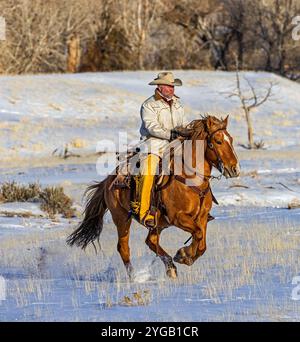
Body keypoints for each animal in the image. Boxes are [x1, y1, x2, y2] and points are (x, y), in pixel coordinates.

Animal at [67, 115, 240, 278]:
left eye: (231, 140)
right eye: (218, 141)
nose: (234, 169)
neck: (190, 180)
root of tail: (109, 179)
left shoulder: (202, 217)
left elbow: (202, 242)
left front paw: (184, 255)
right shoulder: (177, 218)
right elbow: (197, 234)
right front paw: (184, 255)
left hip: (158, 223)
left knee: (151, 241)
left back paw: (170, 267)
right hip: (121, 218)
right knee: (123, 247)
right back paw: (135, 277)